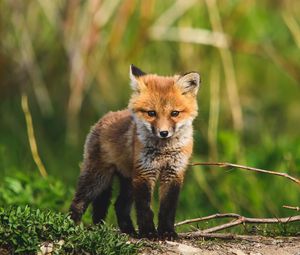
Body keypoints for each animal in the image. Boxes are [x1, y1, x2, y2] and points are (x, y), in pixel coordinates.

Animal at [69, 64, 200, 239]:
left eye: (175, 113)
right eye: (151, 113)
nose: (163, 133)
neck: (163, 150)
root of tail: (104, 117)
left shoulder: (173, 173)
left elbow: (168, 208)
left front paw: (167, 232)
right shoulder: (144, 173)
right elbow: (144, 208)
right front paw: (149, 232)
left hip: (128, 181)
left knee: (119, 205)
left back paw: (128, 231)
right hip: (98, 178)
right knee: (79, 201)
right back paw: (72, 225)